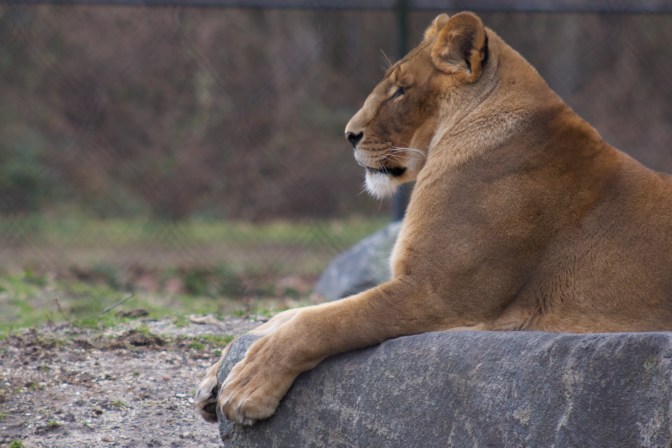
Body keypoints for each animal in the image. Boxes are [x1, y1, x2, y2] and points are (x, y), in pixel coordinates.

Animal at [195, 11, 672, 426]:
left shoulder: (438, 293)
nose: (349, 135)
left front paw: (247, 388)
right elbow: (292, 313)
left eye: (401, 90)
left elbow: (325, 321)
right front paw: (216, 376)